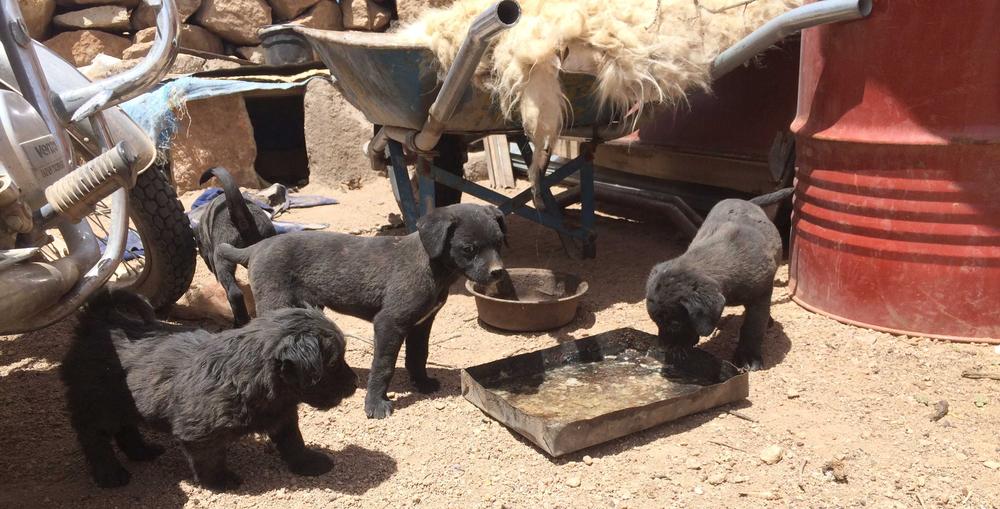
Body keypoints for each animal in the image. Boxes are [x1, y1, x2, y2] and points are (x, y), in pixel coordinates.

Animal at [60, 290, 358, 488]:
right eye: (333, 364)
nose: (355, 383)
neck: (251, 376)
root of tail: (97, 322)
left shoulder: (282, 414)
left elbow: (293, 441)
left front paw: (308, 463)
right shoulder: (199, 433)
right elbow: (210, 459)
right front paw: (220, 482)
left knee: (126, 429)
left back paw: (142, 451)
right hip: (96, 404)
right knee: (94, 438)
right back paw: (111, 474)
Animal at [223, 202, 512, 416]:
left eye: (499, 244)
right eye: (469, 249)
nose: (498, 273)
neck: (432, 267)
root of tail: (256, 248)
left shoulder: (421, 323)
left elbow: (418, 355)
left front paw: (422, 383)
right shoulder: (389, 323)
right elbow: (383, 366)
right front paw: (375, 404)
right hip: (275, 302)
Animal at [644, 187, 792, 370]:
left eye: (675, 324)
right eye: (657, 322)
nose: (663, 349)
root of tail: (746, 201)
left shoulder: (761, 295)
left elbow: (753, 327)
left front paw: (748, 357)